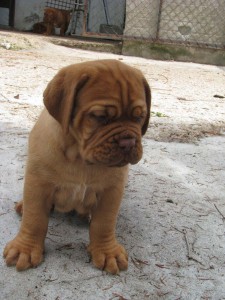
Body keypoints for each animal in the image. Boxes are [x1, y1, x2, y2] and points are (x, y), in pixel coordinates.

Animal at [3, 59, 151, 274]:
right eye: (99, 116)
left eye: (140, 117)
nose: (128, 142)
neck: (80, 157)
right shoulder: (38, 184)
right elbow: (34, 219)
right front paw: (25, 248)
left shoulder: (111, 191)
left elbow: (104, 223)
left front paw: (107, 252)